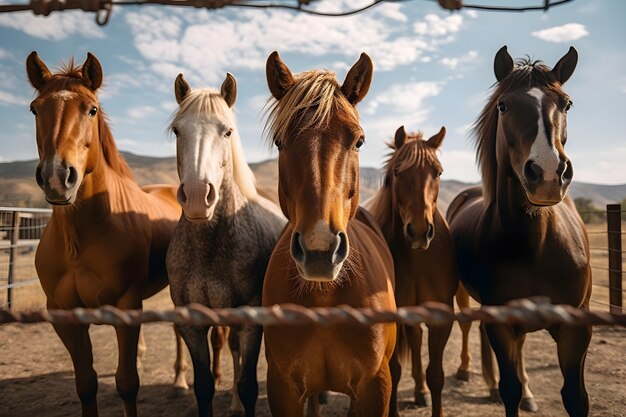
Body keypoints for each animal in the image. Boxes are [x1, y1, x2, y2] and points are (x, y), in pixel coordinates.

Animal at [26, 50, 188, 414]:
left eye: (92, 109)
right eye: (34, 109)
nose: (57, 176)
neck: (78, 241)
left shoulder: (126, 308)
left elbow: (127, 383)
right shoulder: (64, 316)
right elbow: (85, 384)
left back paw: (179, 381)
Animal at [165, 72, 284, 416]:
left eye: (227, 131)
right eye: (177, 130)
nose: (195, 196)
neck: (208, 249)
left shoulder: (252, 321)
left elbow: (248, 385)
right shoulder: (192, 324)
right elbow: (204, 385)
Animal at [260, 52, 394, 416]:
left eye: (359, 140)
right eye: (279, 142)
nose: (319, 251)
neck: (325, 298)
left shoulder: (375, 387)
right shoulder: (282, 388)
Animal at [360, 126, 454, 416]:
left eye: (438, 172)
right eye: (398, 173)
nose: (420, 231)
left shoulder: (442, 316)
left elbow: (436, 375)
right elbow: (394, 371)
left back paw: (420, 392)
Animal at [446, 45, 588, 416]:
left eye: (567, 103)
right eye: (503, 106)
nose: (549, 173)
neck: (536, 245)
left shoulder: (576, 328)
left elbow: (576, 397)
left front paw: (525, 391)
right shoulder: (501, 324)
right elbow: (507, 388)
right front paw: (507, 389)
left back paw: (526, 392)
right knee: (467, 324)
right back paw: (467, 371)